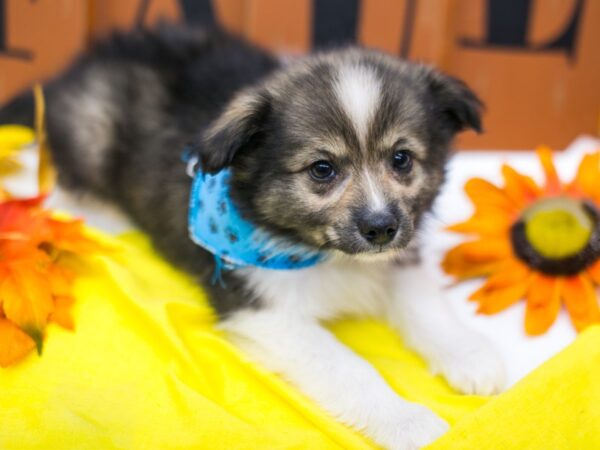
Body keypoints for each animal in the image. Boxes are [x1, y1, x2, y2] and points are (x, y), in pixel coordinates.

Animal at [0, 25, 506, 450]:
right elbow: (346, 365)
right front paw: (408, 421)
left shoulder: (395, 258)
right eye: (322, 169)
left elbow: (427, 306)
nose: (381, 228)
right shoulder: (264, 307)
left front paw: (473, 357)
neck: (326, 255)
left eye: (401, 159)